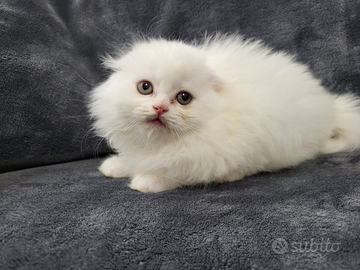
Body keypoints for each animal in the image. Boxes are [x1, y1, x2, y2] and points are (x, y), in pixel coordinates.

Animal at [88, 34, 360, 193]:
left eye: (183, 98)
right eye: (145, 87)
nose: (160, 108)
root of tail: (329, 107)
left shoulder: (204, 157)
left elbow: (175, 172)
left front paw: (146, 182)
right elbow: (131, 159)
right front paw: (115, 166)